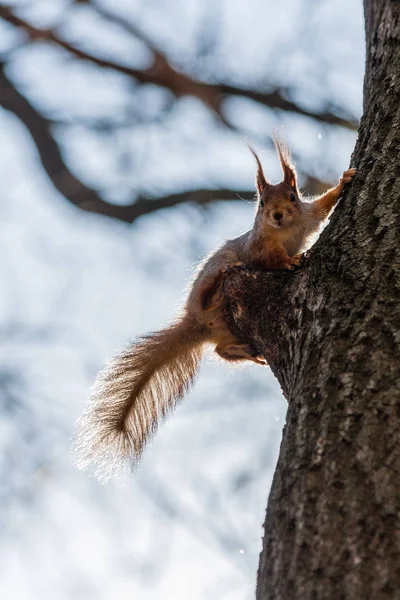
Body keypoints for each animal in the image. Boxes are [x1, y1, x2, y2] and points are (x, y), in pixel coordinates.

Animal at [75, 136, 356, 478]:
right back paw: (219, 285)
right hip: (210, 285)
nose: (276, 215)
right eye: (261, 204)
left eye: (292, 196)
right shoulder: (258, 247)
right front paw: (290, 261)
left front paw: (344, 181)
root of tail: (196, 322)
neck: (284, 230)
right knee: (212, 297)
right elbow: (271, 259)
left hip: (229, 330)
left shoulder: (308, 217)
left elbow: (323, 206)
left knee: (221, 350)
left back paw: (246, 351)